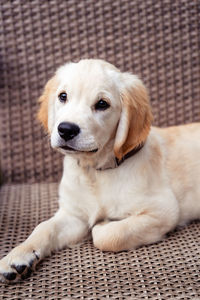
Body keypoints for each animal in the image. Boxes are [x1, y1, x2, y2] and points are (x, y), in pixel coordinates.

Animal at [0, 58, 200, 282]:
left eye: (102, 104)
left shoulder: (164, 210)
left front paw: (103, 224)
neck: (95, 171)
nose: (66, 129)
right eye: (63, 96)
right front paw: (18, 256)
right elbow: (44, 227)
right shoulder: (73, 215)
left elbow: (106, 236)